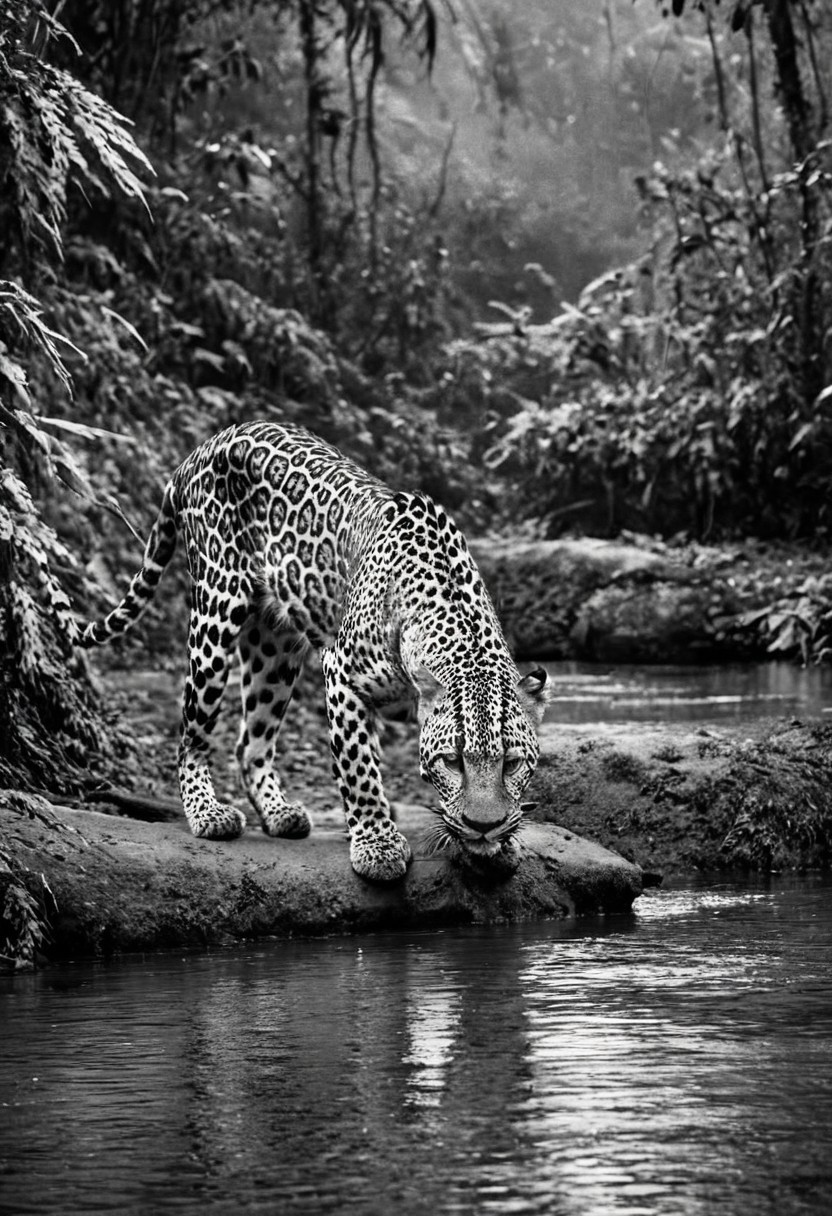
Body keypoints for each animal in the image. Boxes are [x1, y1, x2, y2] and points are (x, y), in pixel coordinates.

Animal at [79, 421, 550, 882]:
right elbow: (359, 768)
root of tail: (204, 446)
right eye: (452, 762)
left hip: (275, 650)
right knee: (192, 734)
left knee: (250, 741)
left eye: (512, 764)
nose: (483, 826)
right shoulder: (342, 676)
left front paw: (496, 844)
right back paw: (208, 813)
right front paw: (377, 845)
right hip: (215, 617)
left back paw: (279, 813)